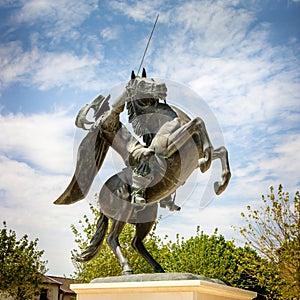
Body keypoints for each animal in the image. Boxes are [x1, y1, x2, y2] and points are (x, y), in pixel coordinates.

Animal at [54, 69, 232, 274]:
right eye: (141, 84)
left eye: (151, 79)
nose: (162, 87)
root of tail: (102, 199)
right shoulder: (167, 148)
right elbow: (197, 122)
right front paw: (207, 161)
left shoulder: (191, 161)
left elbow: (220, 149)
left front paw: (219, 182)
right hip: (123, 211)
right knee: (112, 238)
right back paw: (127, 268)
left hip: (146, 218)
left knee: (136, 243)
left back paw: (159, 269)